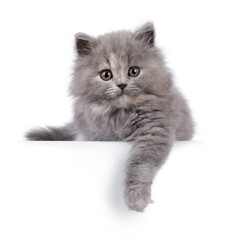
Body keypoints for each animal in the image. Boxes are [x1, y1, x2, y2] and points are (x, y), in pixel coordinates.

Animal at [25, 23, 195, 212]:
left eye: (134, 71)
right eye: (106, 75)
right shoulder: (94, 134)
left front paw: (137, 197)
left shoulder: (154, 130)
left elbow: (140, 163)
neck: (120, 113)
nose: (121, 85)